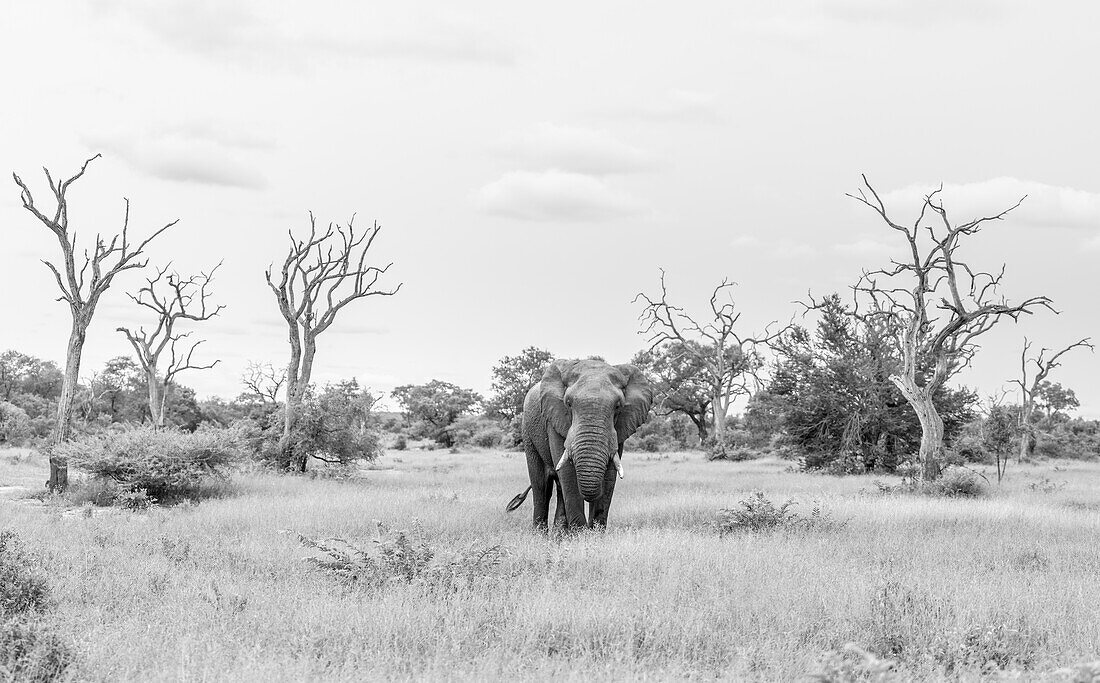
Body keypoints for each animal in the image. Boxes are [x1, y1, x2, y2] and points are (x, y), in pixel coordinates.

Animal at [506, 358, 651, 530]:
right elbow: (568, 473)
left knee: (558, 487)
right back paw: (540, 534)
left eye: (618, 406)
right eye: (568, 403)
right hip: (528, 433)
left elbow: (609, 475)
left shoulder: (620, 428)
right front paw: (580, 534)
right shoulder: (554, 419)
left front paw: (595, 533)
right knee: (541, 487)